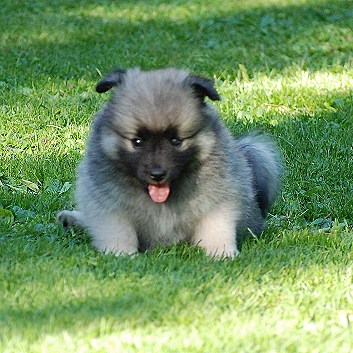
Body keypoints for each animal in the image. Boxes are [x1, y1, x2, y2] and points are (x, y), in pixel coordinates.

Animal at [57, 68, 280, 256]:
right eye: (137, 141)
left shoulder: (218, 202)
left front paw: (222, 253)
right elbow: (118, 231)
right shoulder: (109, 206)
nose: (157, 174)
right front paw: (121, 254)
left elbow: (216, 228)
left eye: (176, 141)